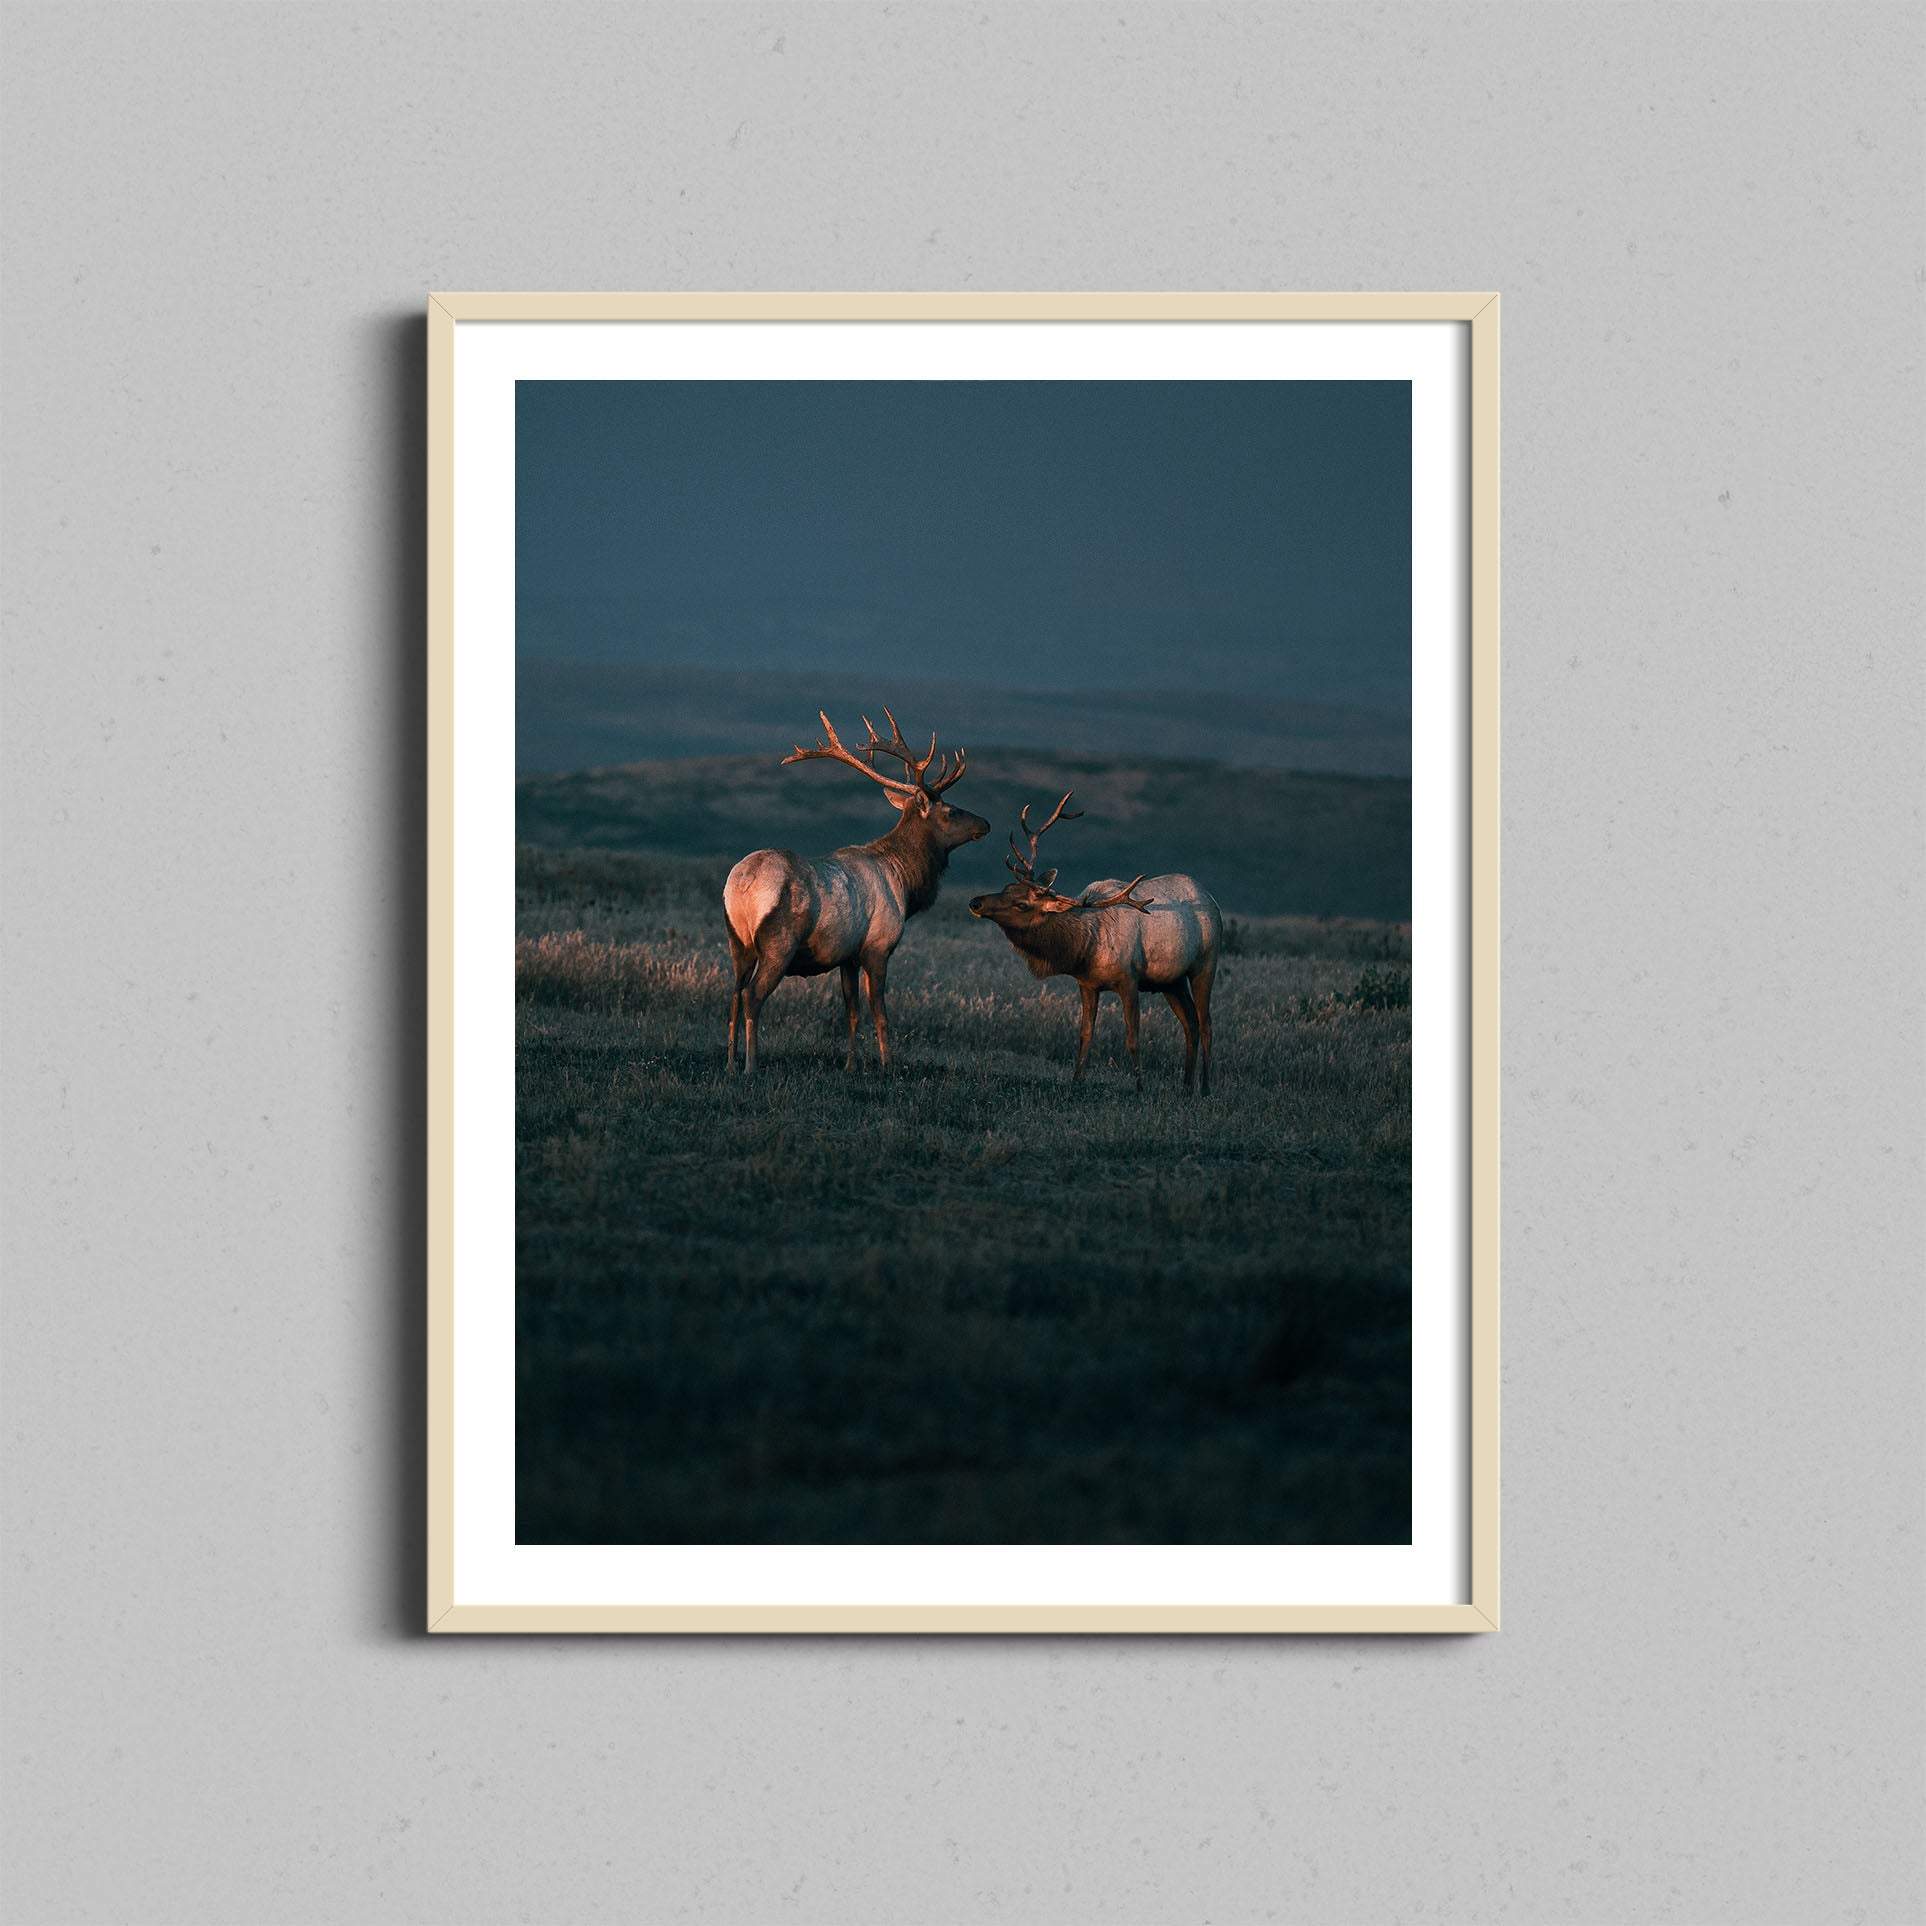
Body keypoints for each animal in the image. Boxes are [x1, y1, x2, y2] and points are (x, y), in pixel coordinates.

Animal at [723, 710, 989, 1074]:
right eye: (951, 811)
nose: (986, 824)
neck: (905, 883)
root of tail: (742, 884)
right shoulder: (878, 947)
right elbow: (880, 1013)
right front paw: (887, 1065)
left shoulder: (847, 956)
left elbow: (852, 1011)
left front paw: (850, 1064)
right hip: (778, 943)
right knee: (752, 995)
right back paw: (751, 1066)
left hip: (738, 942)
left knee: (734, 994)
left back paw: (730, 1063)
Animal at [968, 792, 1222, 1092]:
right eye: (1007, 887)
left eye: (1021, 904)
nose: (975, 902)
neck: (1085, 948)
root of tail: (1211, 899)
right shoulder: (1087, 984)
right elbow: (1085, 1033)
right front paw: (1076, 1080)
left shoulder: (1129, 979)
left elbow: (1133, 1037)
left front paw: (1139, 1087)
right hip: (1171, 981)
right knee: (1190, 1023)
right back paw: (1185, 1088)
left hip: (1205, 965)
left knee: (1206, 1024)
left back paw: (1204, 1089)